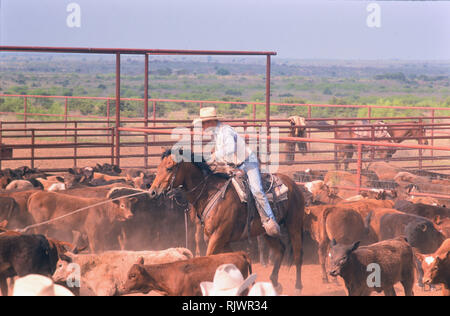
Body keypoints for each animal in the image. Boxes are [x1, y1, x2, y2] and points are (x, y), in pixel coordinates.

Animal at [150, 149, 306, 292]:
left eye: (169, 168)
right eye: (158, 167)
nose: (152, 192)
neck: (211, 193)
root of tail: (293, 183)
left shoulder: (218, 236)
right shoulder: (221, 240)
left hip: (294, 224)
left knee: (298, 254)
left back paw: (298, 287)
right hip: (267, 232)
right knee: (280, 249)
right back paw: (275, 283)